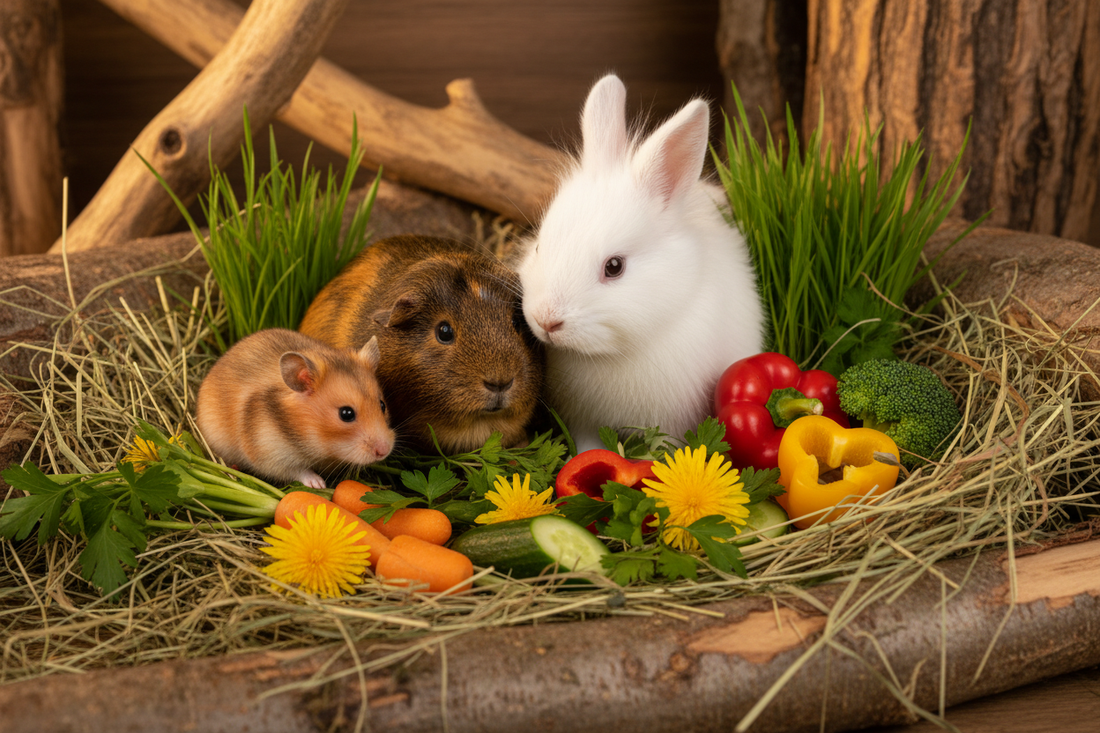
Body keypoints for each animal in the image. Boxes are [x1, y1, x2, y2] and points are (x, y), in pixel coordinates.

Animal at [195, 328, 394, 488]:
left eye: (382, 405)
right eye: (346, 414)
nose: (384, 451)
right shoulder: (269, 454)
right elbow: (298, 471)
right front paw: (319, 484)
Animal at [517, 74, 765, 452]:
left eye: (614, 266)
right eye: (539, 245)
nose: (546, 321)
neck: (610, 355)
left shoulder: (672, 423)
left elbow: (665, 450)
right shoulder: (584, 421)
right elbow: (588, 446)